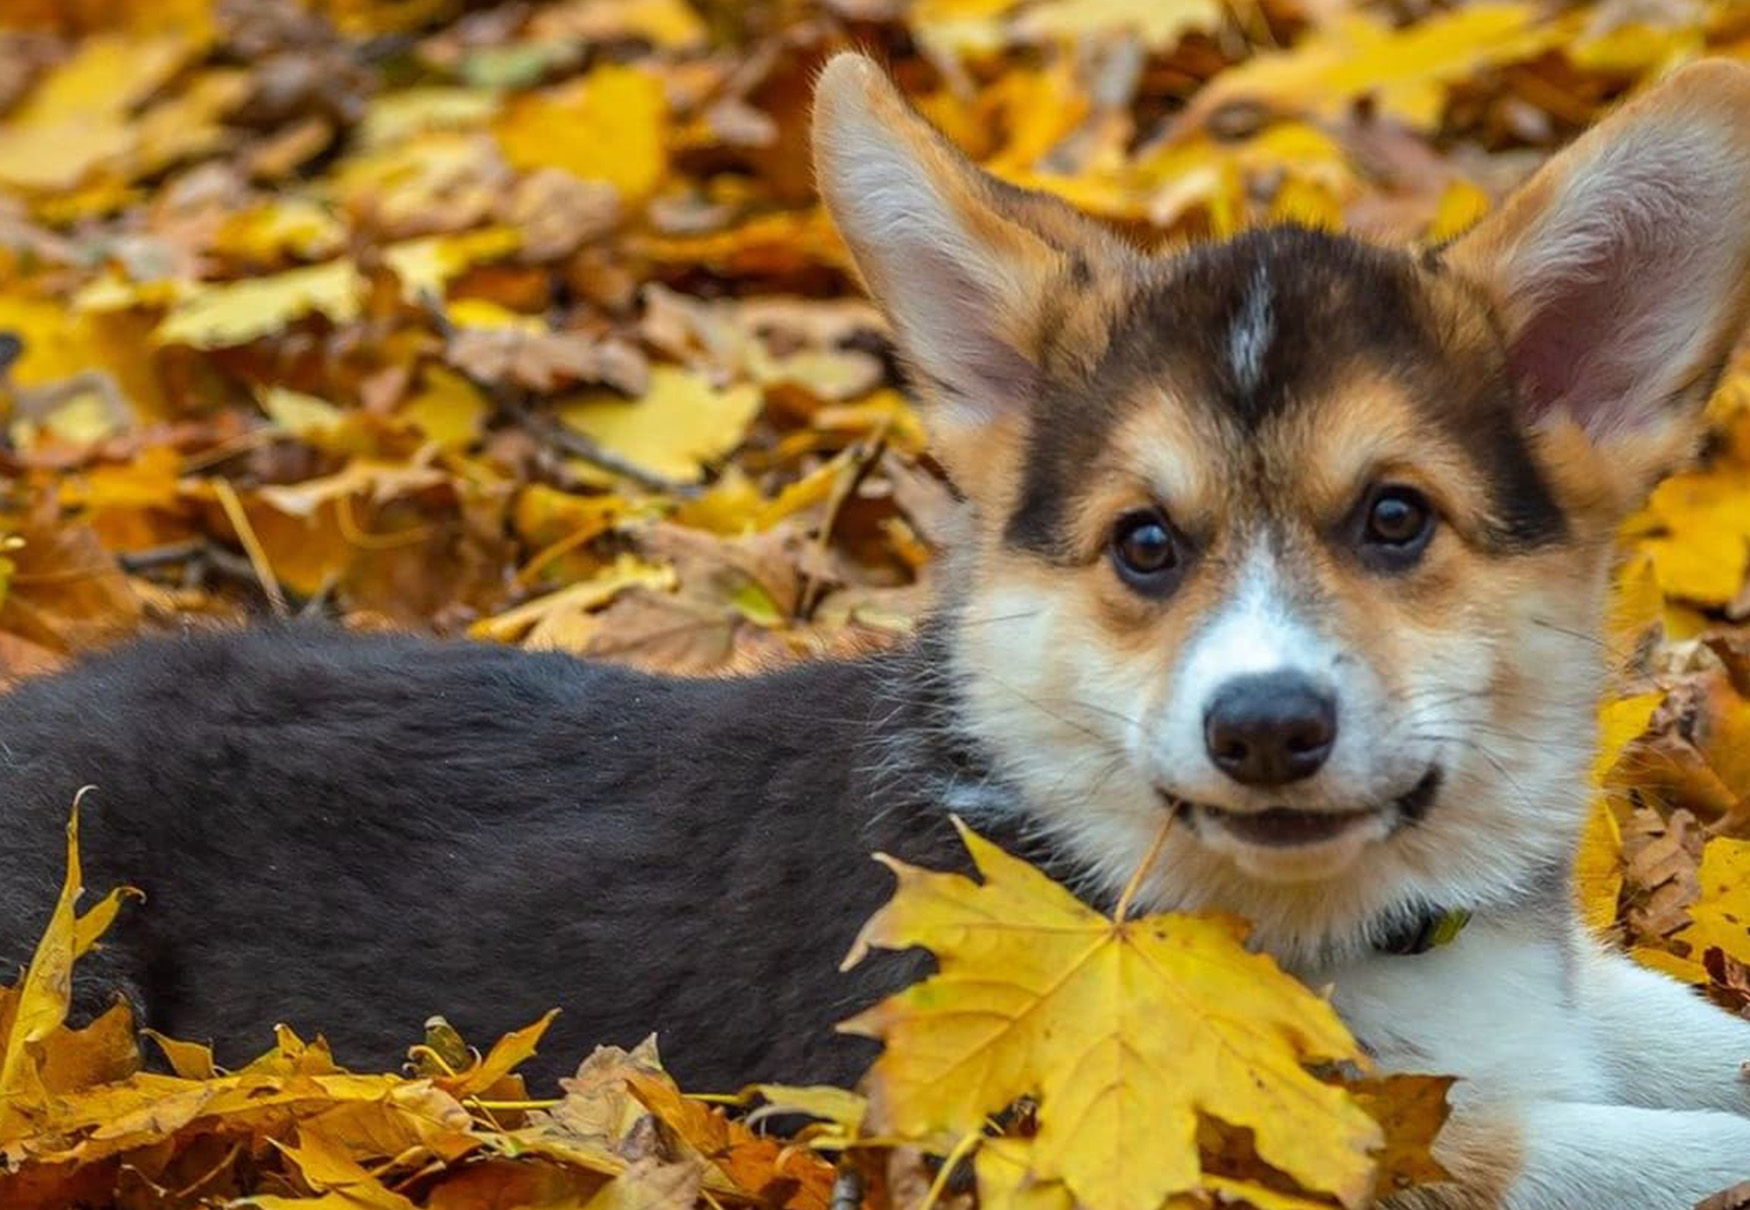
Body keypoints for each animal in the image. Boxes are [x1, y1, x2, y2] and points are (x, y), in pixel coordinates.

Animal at [3, 49, 1750, 1210]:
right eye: (1144, 545)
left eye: (1394, 519)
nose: (1262, 729)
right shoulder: (1249, 1126)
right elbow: (1593, 1147)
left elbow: (1667, 1024)